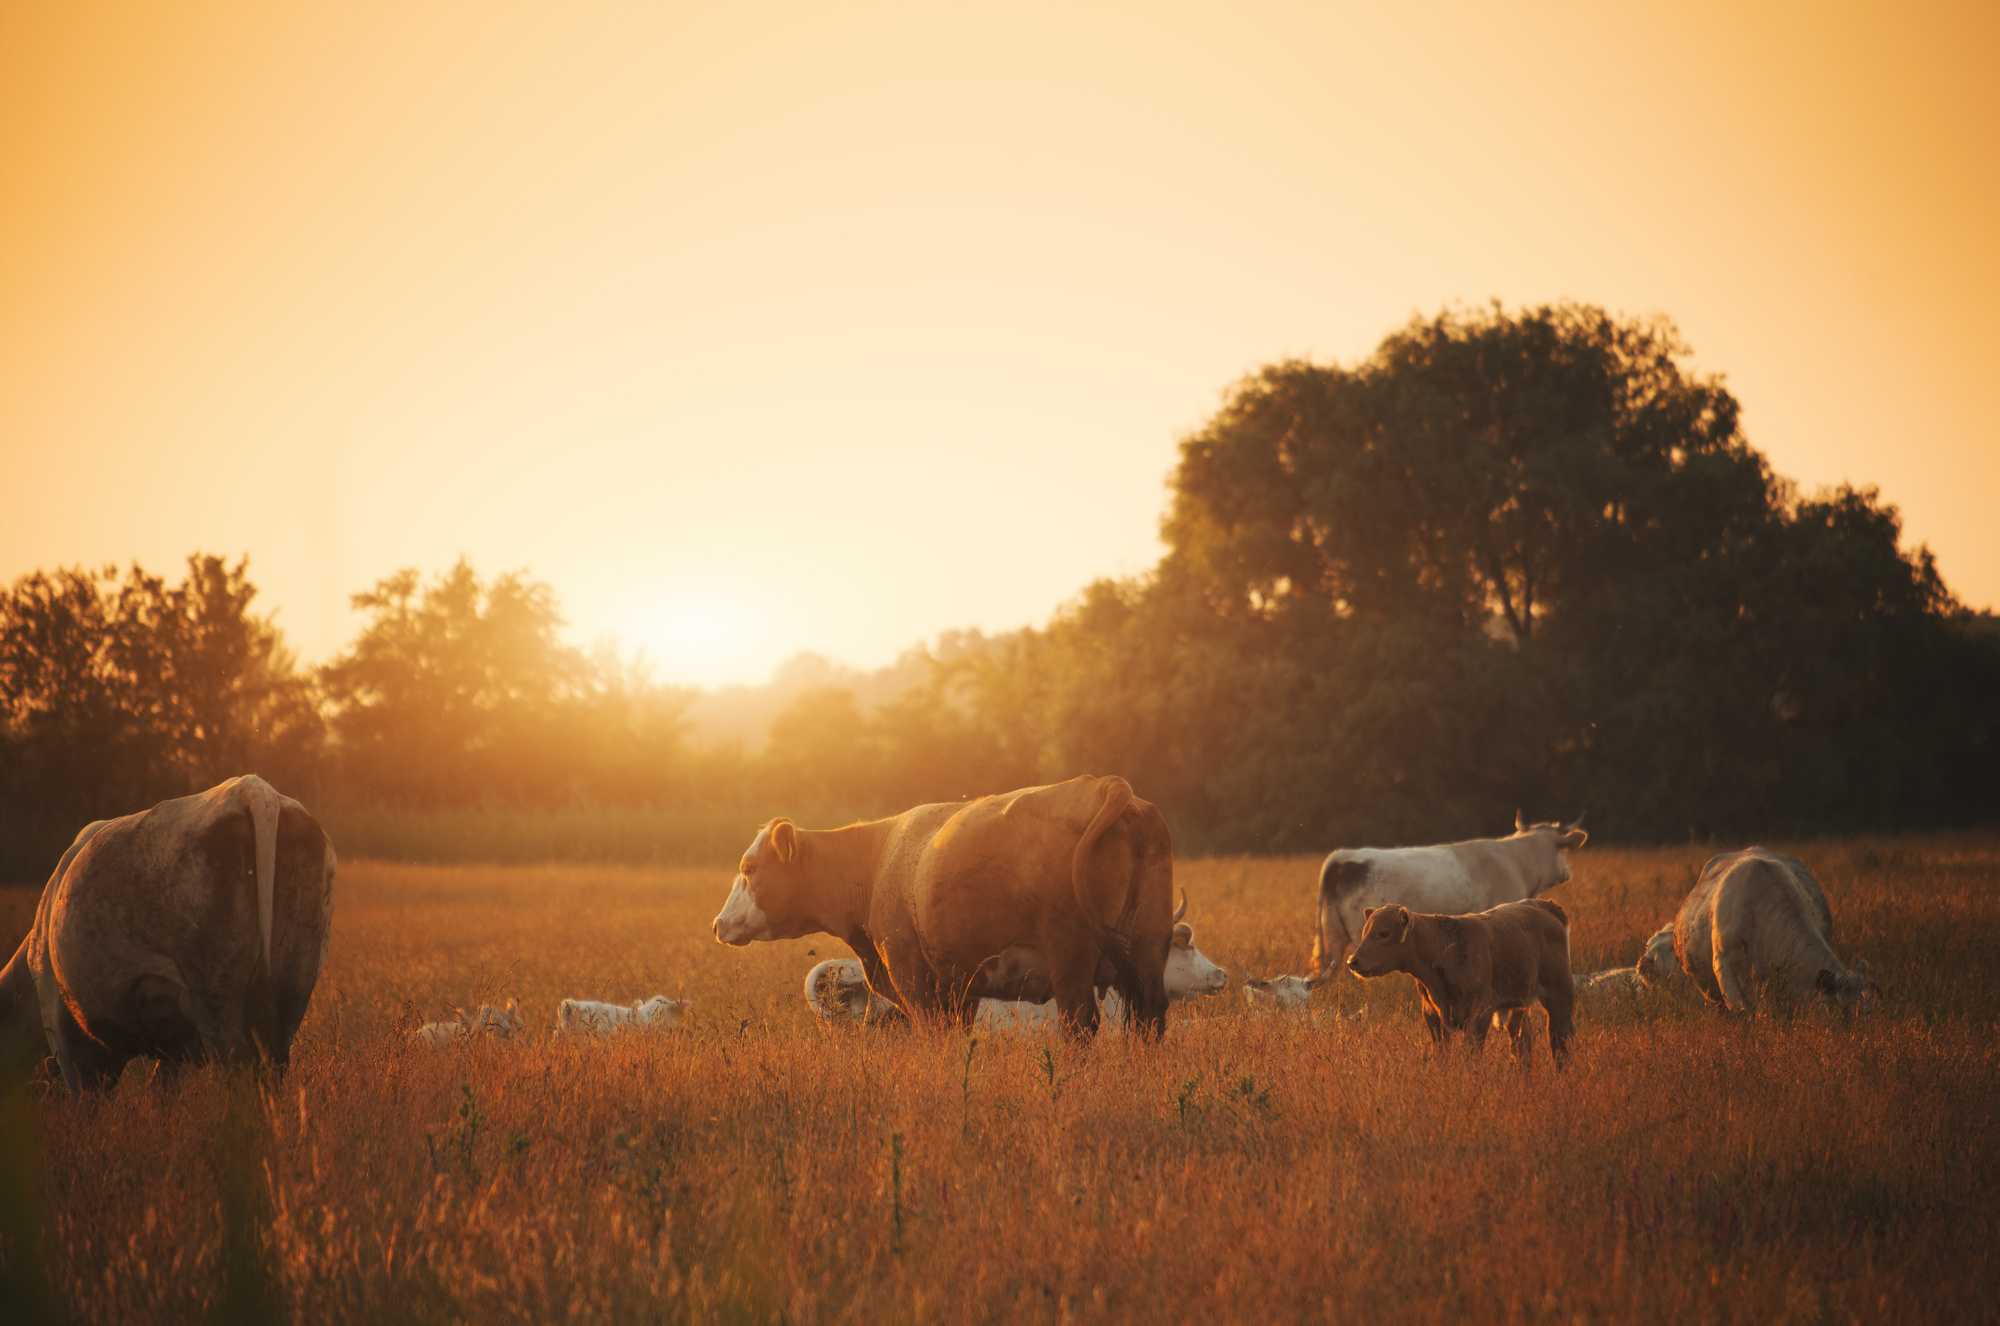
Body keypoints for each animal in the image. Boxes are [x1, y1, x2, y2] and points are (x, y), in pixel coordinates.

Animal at [0, 775, 336, 1092]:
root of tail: (249, 787)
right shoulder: (174, 1050)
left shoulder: (68, 1038)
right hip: (293, 982)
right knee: (275, 1062)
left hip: (214, 989)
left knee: (238, 1067)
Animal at [714, 775, 1175, 1038]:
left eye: (748, 867)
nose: (718, 924)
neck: (877, 859)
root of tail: (1104, 785)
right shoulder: (960, 985)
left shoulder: (911, 974)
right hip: (1149, 948)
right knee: (1150, 1018)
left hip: (1070, 956)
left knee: (1080, 1025)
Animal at [1310, 814, 1587, 978]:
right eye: (1563, 850)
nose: (1568, 872)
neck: (1516, 861)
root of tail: (1345, 855)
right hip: (1361, 936)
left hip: (1334, 934)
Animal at [1345, 899, 1576, 1064]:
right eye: (1364, 933)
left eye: (1383, 933)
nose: (1352, 961)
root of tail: (1542, 905)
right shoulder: (1432, 1014)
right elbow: (1441, 1054)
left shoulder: (1480, 1011)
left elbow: (1470, 1055)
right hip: (1518, 1003)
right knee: (1522, 1041)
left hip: (1559, 994)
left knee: (1560, 1039)